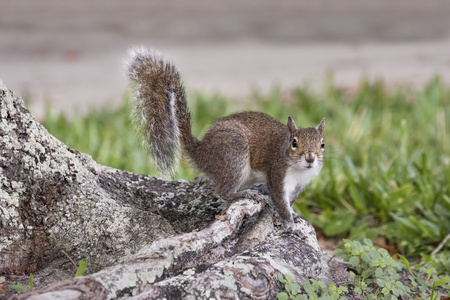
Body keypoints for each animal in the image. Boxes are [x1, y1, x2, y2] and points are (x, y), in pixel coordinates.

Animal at [125, 47, 324, 237]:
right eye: (294, 143)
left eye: (322, 144)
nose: (310, 158)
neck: (298, 170)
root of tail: (202, 152)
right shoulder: (277, 175)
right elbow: (281, 203)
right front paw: (290, 226)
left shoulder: (299, 185)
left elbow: (289, 202)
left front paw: (294, 215)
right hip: (234, 156)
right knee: (223, 193)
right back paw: (245, 193)